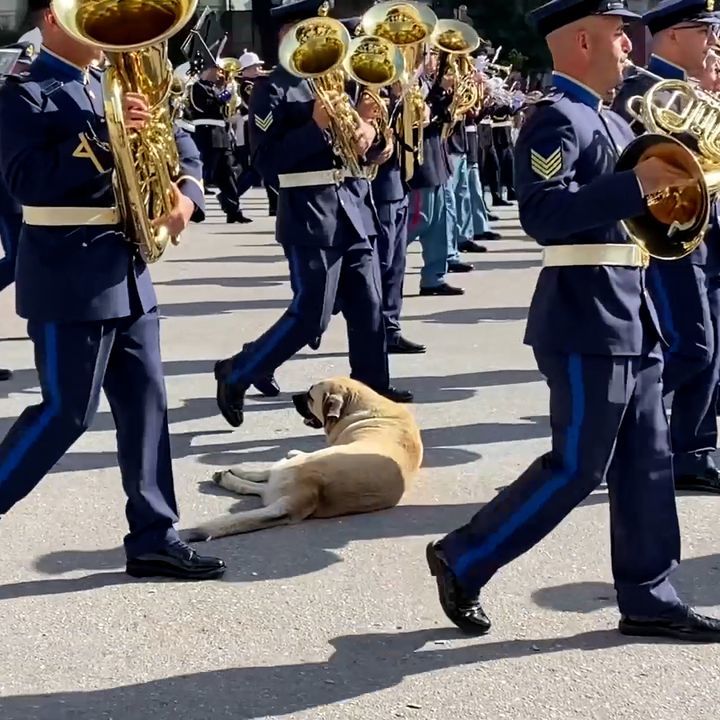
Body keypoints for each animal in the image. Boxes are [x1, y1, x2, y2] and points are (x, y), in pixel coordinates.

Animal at [187, 376, 422, 540]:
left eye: (310, 396)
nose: (293, 397)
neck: (361, 406)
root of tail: (311, 491)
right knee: (262, 490)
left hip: (289, 468)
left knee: (262, 477)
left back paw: (228, 475)